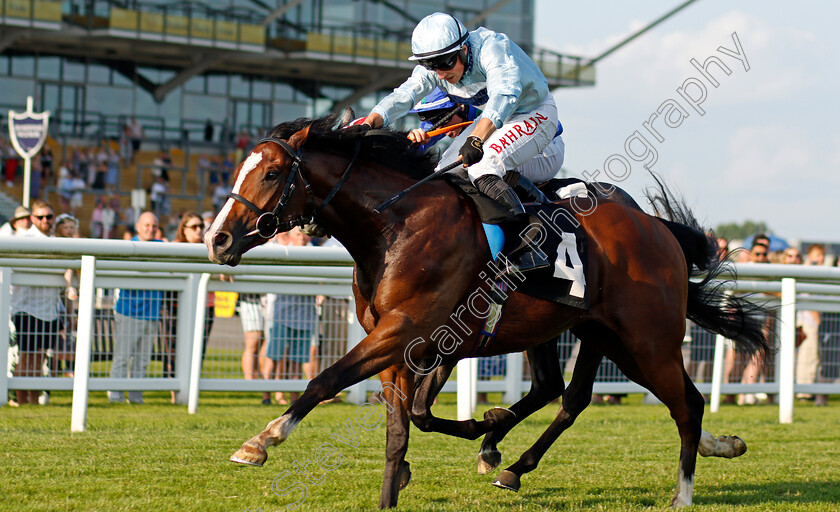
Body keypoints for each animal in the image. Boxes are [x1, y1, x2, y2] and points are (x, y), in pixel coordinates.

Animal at [203, 116, 768, 508]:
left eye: (272, 172)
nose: (217, 238)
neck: (395, 225)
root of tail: (658, 229)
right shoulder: (402, 343)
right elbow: (401, 426)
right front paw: (399, 484)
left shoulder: (403, 330)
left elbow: (328, 380)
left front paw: (262, 440)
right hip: (590, 332)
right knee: (573, 394)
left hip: (645, 342)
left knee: (683, 405)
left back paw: (683, 492)